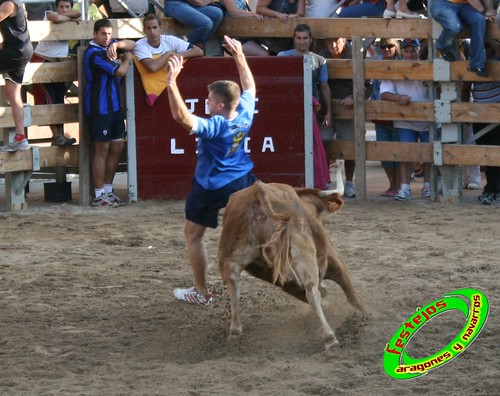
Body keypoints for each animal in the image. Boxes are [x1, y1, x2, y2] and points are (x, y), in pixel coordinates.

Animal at [218, 179, 364, 350]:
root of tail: (258, 193)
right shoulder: (334, 262)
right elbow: (353, 296)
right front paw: (369, 314)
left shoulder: (278, 277)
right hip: (302, 251)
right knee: (311, 290)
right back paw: (330, 338)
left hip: (231, 259)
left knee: (233, 283)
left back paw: (235, 332)